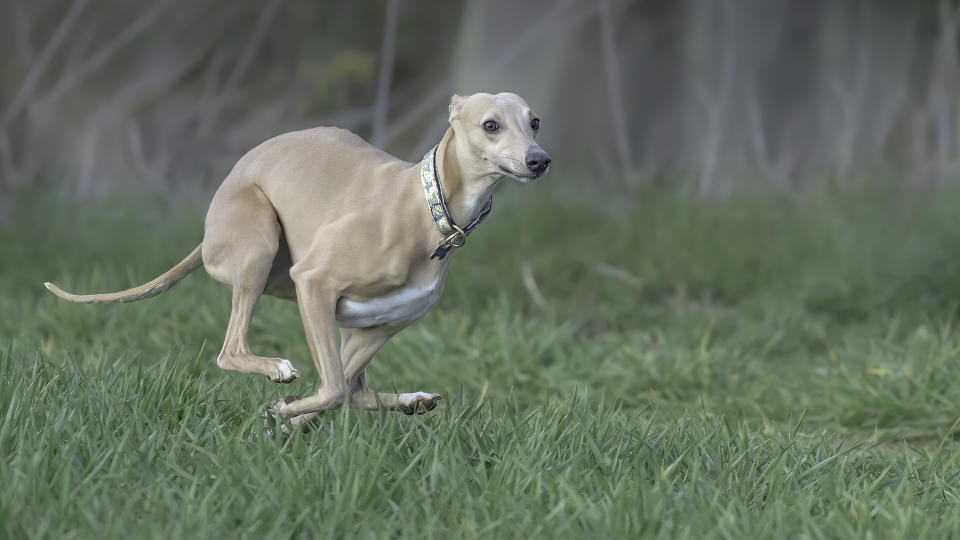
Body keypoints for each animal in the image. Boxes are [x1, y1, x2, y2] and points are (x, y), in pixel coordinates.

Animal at [45, 94, 552, 430]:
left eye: (535, 122)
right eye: (491, 125)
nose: (540, 161)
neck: (431, 209)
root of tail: (207, 234)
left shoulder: (378, 327)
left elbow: (341, 390)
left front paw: (290, 417)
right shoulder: (314, 283)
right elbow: (330, 390)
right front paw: (284, 410)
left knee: (356, 390)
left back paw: (410, 400)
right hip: (258, 243)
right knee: (231, 351)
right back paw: (277, 372)